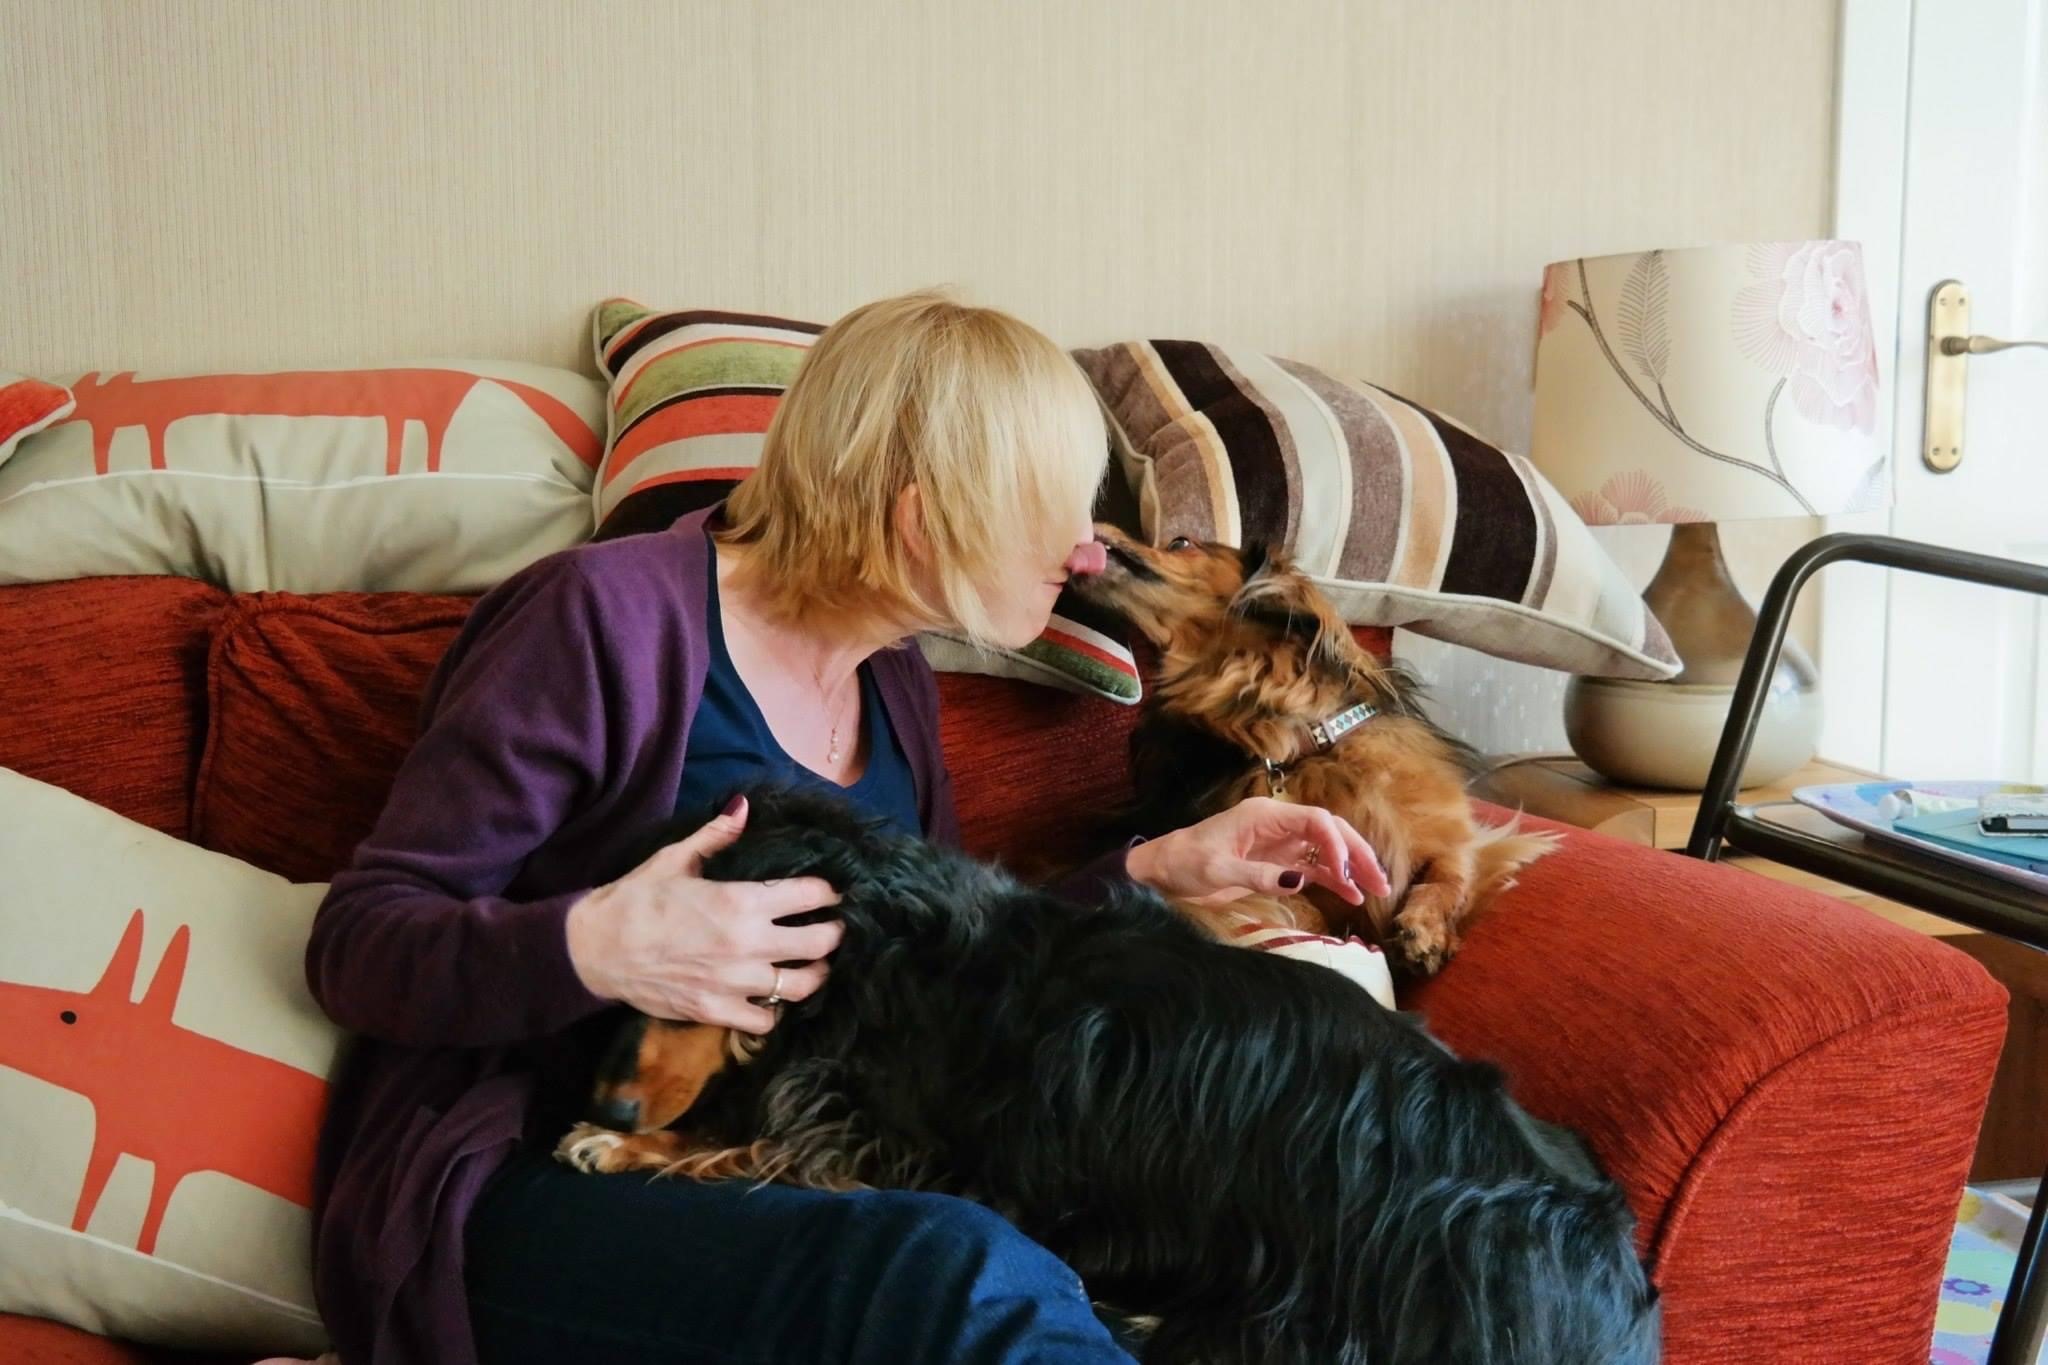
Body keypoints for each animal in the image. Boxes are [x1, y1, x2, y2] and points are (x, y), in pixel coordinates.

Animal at [565, 789, 1662, 1365]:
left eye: (708, 978)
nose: (604, 1095)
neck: (895, 946)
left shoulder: (911, 1145)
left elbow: (771, 1133)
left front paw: (627, 1140)